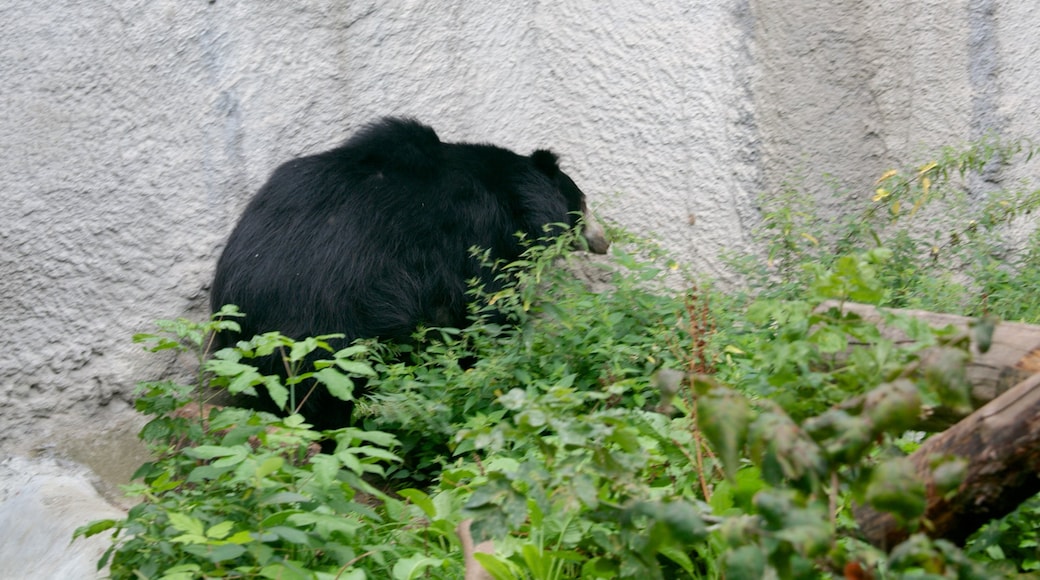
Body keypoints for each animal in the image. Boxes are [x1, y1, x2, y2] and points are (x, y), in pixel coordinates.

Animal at [209, 118, 607, 430]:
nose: (605, 240)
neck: (509, 194)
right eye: (584, 203)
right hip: (331, 328)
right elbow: (486, 308)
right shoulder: (472, 235)